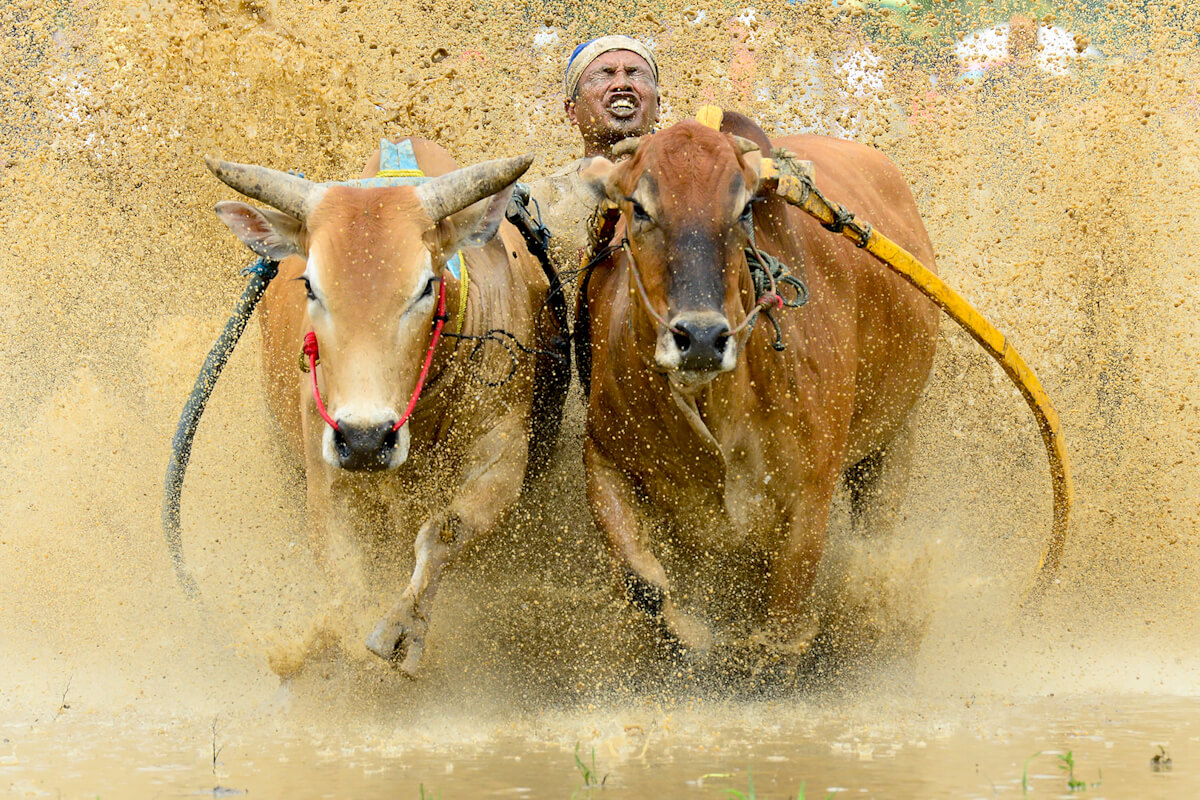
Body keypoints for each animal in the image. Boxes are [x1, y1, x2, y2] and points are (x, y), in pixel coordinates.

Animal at [208, 139, 568, 676]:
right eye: (311, 285)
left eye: (425, 285)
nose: (365, 439)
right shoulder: (326, 471)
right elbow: (345, 574)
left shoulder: (503, 451)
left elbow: (444, 531)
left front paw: (402, 631)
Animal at [578, 115, 936, 662]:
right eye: (638, 208)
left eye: (742, 208)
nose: (702, 338)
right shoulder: (604, 457)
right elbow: (646, 585)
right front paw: (693, 635)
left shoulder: (810, 498)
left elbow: (780, 630)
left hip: (894, 441)